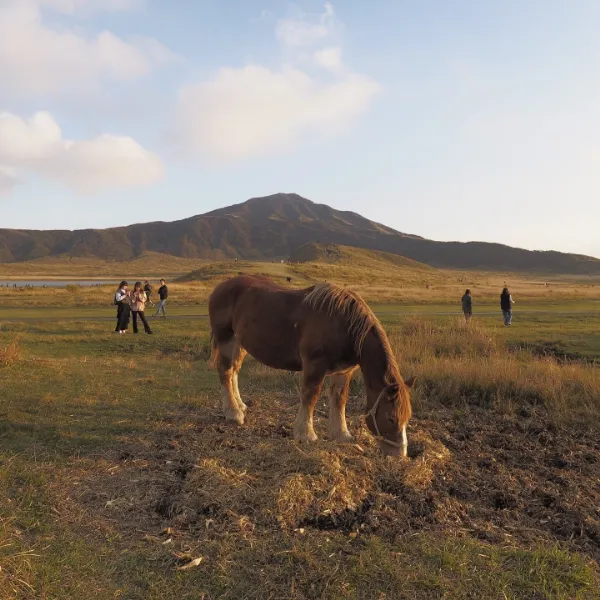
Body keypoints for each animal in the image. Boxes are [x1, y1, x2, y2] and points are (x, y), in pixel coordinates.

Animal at [209, 274, 414, 458]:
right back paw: (233, 413)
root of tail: (219, 287)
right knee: (225, 372)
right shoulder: (314, 366)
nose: (400, 455)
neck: (343, 324)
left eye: (407, 418)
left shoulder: (344, 371)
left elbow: (340, 400)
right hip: (226, 339)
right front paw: (306, 434)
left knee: (234, 372)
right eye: (391, 418)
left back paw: (240, 405)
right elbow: (310, 396)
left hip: (240, 343)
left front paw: (341, 434)